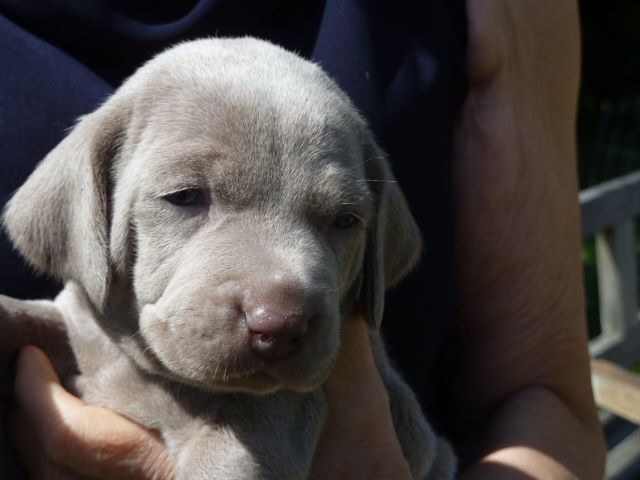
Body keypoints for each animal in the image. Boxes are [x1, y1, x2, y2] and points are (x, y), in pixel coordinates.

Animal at [0, 38, 456, 480]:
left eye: (345, 221)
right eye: (185, 196)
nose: (280, 324)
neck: (153, 375)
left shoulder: (274, 418)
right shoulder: (80, 327)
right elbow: (28, 318)